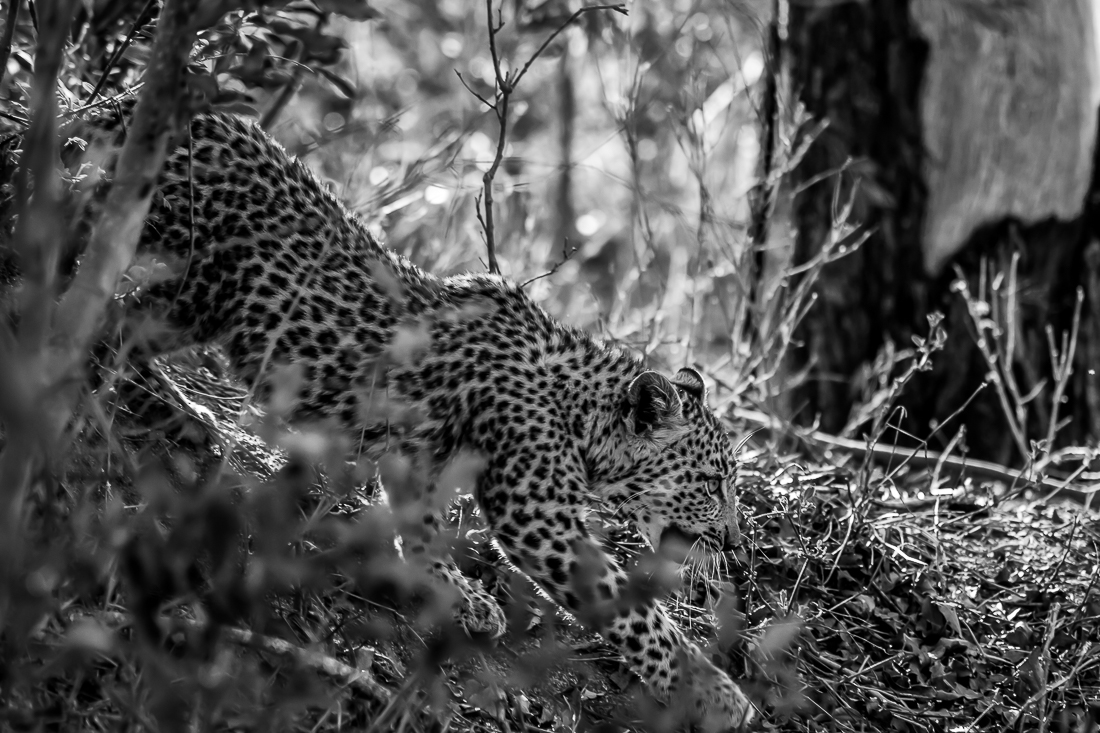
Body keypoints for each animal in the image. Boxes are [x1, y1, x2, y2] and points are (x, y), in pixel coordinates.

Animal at [12, 109, 756, 730]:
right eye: (711, 482)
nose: (736, 543)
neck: (578, 408)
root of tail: (114, 112)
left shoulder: (418, 462)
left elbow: (417, 529)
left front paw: (459, 597)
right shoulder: (536, 512)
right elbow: (634, 611)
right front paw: (715, 693)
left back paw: (185, 415)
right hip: (187, 282)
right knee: (95, 319)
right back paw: (144, 409)